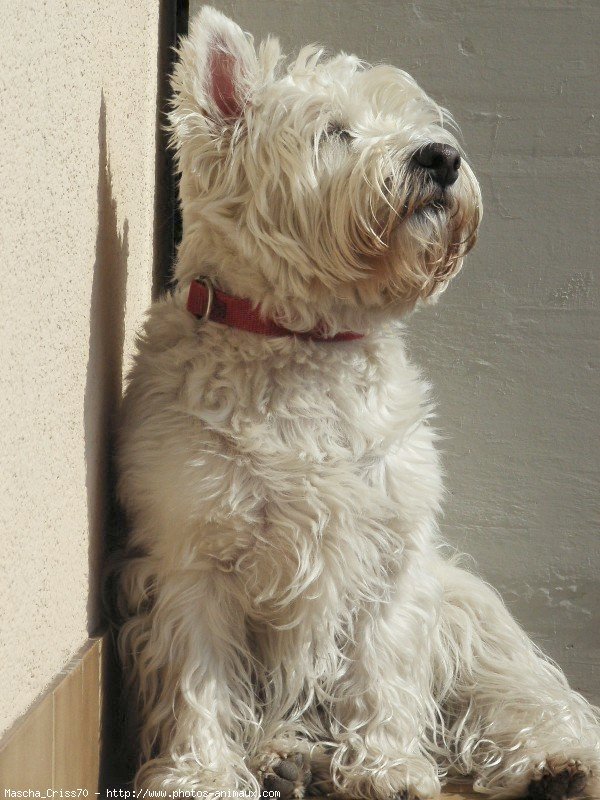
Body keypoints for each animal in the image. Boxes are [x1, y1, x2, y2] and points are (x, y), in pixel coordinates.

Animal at [117, 7, 600, 800]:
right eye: (334, 131)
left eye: (413, 121)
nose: (441, 158)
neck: (306, 344)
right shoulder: (190, 546)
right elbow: (199, 677)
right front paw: (199, 774)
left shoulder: (387, 553)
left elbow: (380, 669)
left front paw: (389, 766)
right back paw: (285, 759)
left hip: (467, 609)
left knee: (515, 692)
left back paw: (555, 762)